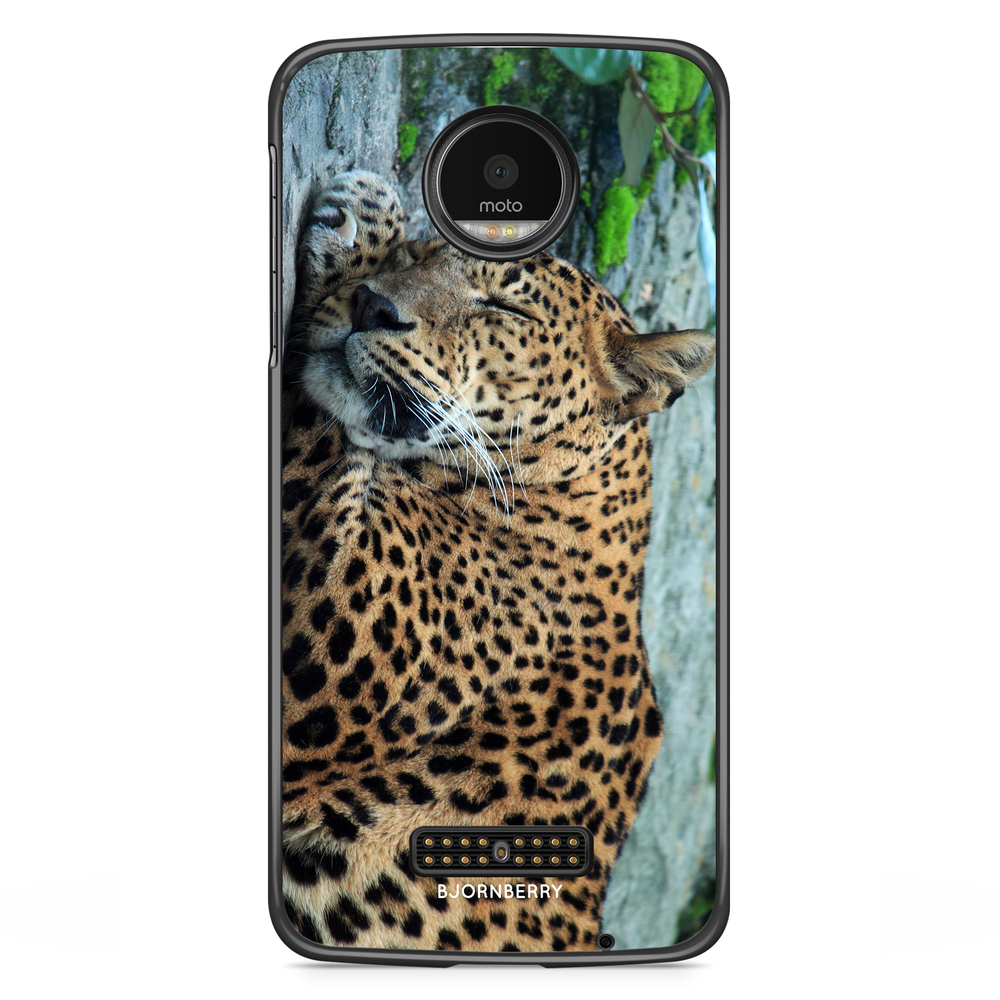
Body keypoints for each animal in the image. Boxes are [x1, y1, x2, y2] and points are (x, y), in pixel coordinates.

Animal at [280, 171, 715, 954]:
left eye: (503, 307)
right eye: (423, 256)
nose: (373, 306)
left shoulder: (334, 617)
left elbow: (323, 428)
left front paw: (362, 216)